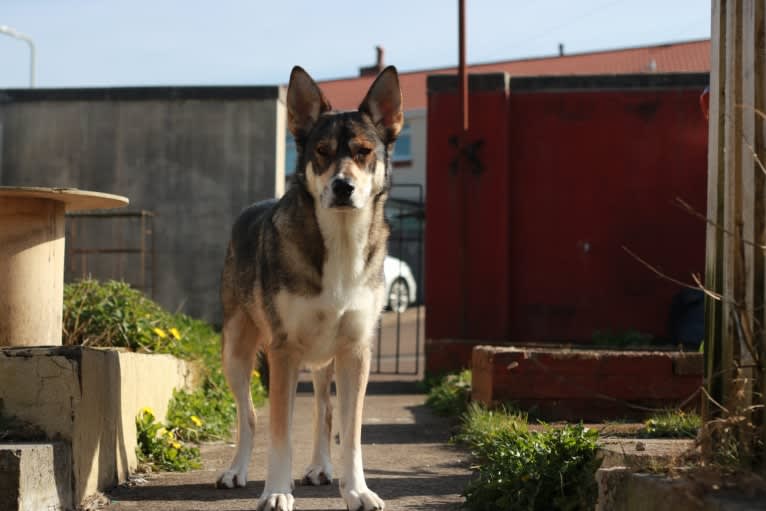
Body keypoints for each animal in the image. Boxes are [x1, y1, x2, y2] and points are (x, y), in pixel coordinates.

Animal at [213, 65, 404, 511]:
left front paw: (357, 491)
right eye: (322, 151)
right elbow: (279, 433)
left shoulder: (356, 351)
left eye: (364, 151)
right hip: (237, 352)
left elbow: (350, 434)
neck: (341, 242)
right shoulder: (284, 351)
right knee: (249, 416)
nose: (342, 187)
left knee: (323, 410)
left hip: (323, 360)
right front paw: (276, 492)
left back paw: (320, 467)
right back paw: (236, 471)